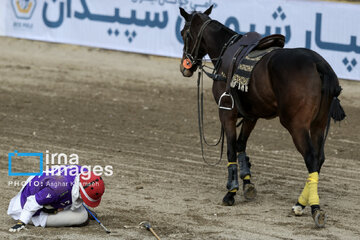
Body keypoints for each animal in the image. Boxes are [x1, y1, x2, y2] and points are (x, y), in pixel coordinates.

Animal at [179, 4, 346, 228]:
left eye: (183, 33)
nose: (185, 67)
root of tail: (318, 64)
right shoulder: (251, 115)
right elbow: (241, 146)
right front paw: (247, 183)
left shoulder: (227, 112)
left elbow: (231, 150)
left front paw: (231, 192)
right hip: (318, 125)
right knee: (319, 159)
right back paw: (300, 204)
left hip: (297, 126)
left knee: (311, 158)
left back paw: (314, 208)